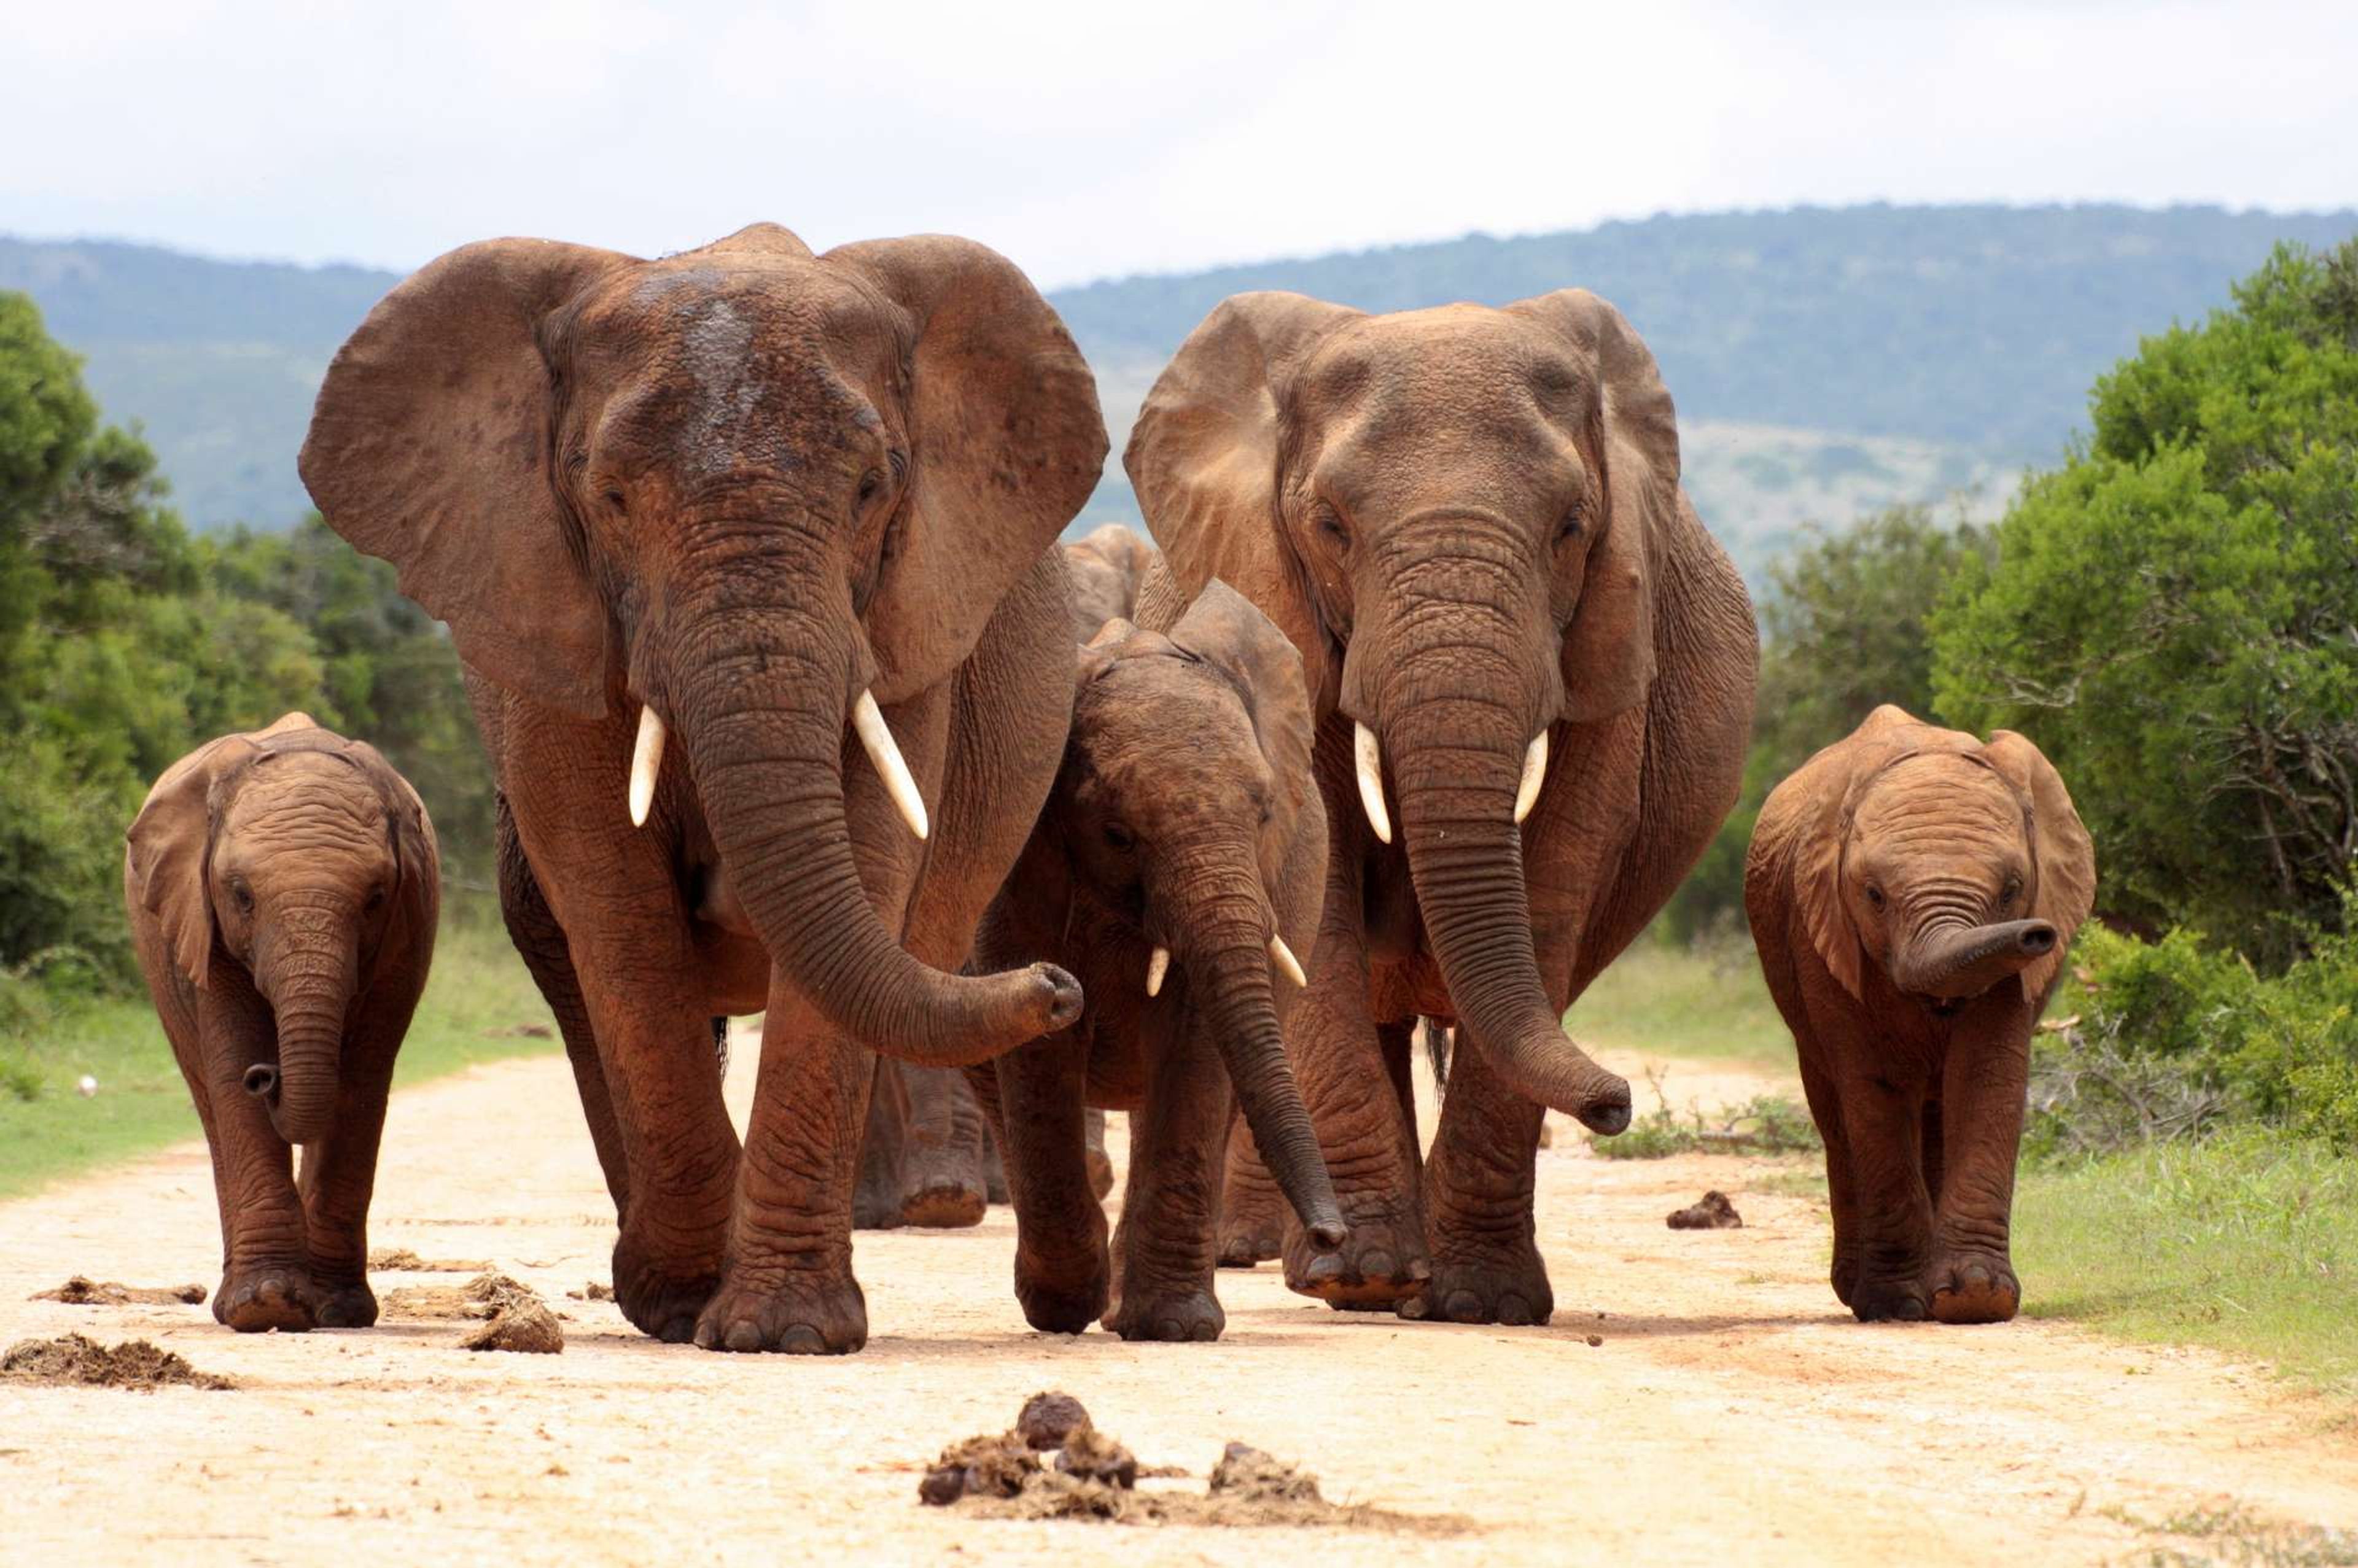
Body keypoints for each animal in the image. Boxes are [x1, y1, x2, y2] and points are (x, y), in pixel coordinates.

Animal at [126, 716, 441, 1330]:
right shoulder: (202, 922)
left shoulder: (407, 929)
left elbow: (363, 1080)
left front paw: (339, 1310)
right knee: (209, 1098)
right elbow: (231, 1064)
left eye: (375, 899)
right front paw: (266, 1304)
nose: (266, 1076)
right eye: (242, 896)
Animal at [297, 220, 1103, 1348]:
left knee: (930, 966)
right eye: (609, 497)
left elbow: (864, 874)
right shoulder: (548, 622)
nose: (1058, 984)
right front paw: (686, 1301)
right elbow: (617, 911)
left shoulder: (904, 624)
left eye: (873, 488)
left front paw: (782, 1330)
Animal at [971, 568, 1348, 1339]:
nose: (1333, 1237)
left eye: (1266, 813)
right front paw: (1066, 1306)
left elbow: (1197, 1040)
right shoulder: (1019, 869)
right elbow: (1040, 1041)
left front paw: (1172, 1326)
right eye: (1117, 834)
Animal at [1132, 284, 1764, 1320]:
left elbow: (1553, 884)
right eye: (1330, 525)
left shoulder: (1607, 653)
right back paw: (1333, 1265)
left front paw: (1483, 1302)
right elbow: (1322, 900)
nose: (1618, 1103)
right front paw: (1365, 1278)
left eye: (1572, 527)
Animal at [1745, 707, 2093, 1320]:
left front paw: (1975, 1298)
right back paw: (1860, 1292)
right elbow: (1874, 1088)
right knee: (1836, 1115)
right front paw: (1896, 1304)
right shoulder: (1823, 934)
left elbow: (1987, 1075)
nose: (2038, 935)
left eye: (2013, 890)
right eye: (1873, 895)